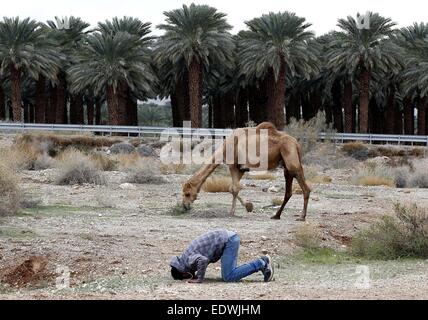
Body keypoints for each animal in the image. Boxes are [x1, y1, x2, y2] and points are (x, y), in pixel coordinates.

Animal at [181, 121, 310, 221]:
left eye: (187, 193)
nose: (185, 206)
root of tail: (296, 144)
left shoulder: (233, 165)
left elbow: (234, 188)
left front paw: (233, 211)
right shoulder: (241, 169)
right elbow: (232, 188)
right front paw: (249, 206)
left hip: (291, 158)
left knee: (305, 188)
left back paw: (301, 217)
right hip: (286, 165)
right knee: (288, 192)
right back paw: (276, 215)